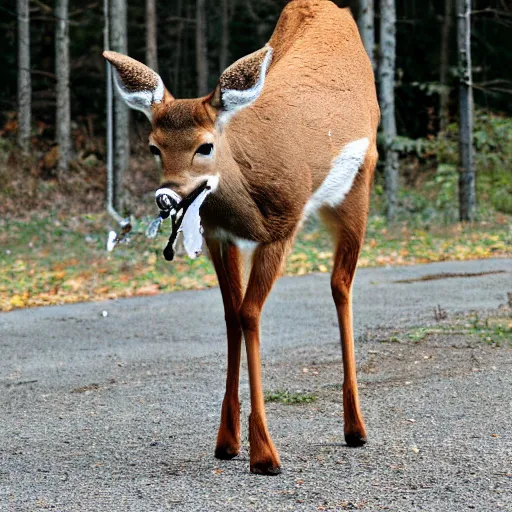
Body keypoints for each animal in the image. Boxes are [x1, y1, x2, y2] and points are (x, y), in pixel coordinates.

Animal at [104, 0, 380, 476]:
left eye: (205, 146)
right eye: (154, 147)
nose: (167, 197)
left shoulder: (283, 225)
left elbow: (251, 314)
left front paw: (265, 453)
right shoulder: (220, 236)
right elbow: (232, 316)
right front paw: (227, 441)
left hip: (357, 185)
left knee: (341, 284)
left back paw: (355, 427)